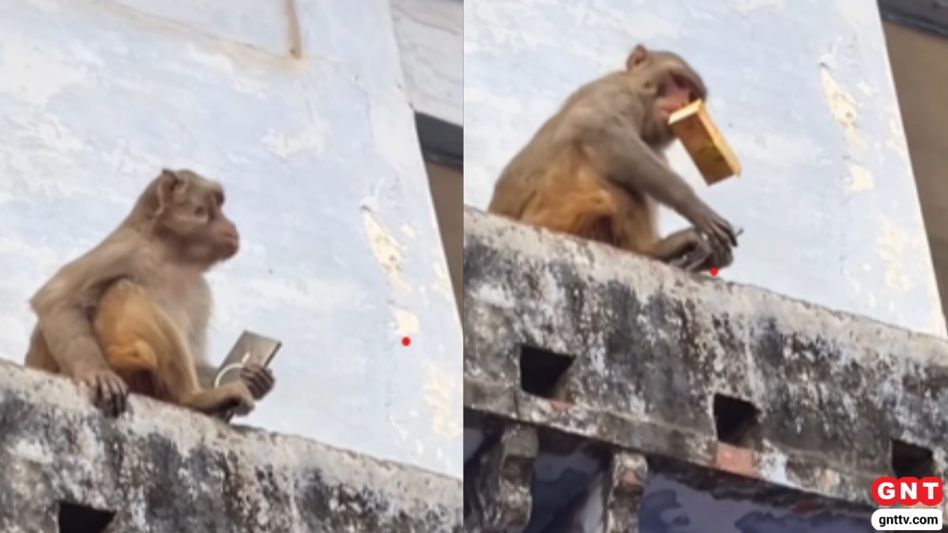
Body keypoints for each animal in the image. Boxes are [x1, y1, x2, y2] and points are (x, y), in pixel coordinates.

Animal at [24, 168, 274, 416]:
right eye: (217, 201)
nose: (232, 225)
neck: (172, 255)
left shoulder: (201, 289)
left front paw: (256, 379)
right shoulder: (127, 249)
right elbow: (56, 298)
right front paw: (96, 372)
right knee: (123, 289)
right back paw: (194, 398)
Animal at [488, 44, 738, 272]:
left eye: (692, 94)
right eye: (678, 81)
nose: (685, 102)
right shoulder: (619, 93)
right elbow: (601, 127)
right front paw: (694, 206)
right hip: (553, 210)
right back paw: (651, 250)